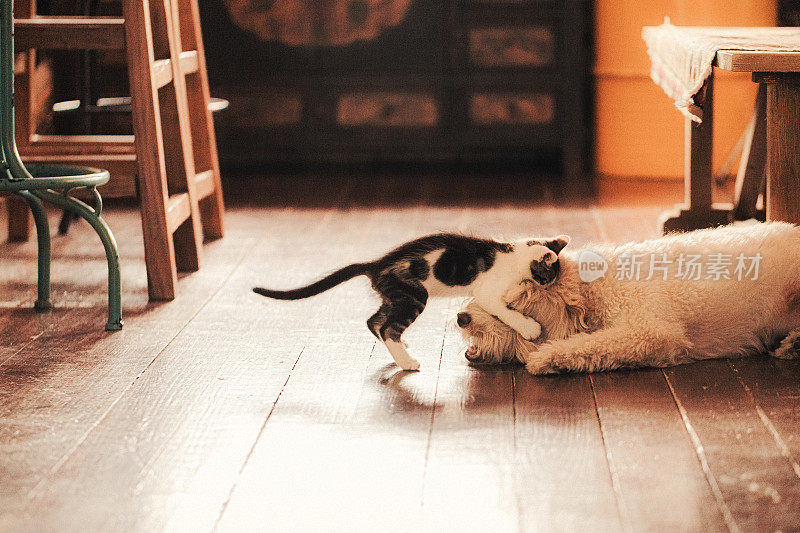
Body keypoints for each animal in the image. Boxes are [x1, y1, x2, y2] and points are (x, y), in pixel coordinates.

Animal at [255, 233, 568, 370]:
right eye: (546, 279)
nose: (550, 284)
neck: (515, 255)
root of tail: (376, 264)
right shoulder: (488, 292)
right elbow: (504, 309)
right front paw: (529, 328)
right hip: (415, 296)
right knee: (386, 327)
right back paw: (406, 362)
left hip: (397, 295)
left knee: (373, 321)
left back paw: (400, 350)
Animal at [460, 220, 800, 374]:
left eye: (506, 309)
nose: (461, 318)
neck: (593, 292)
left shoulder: (652, 331)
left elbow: (592, 343)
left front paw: (547, 357)